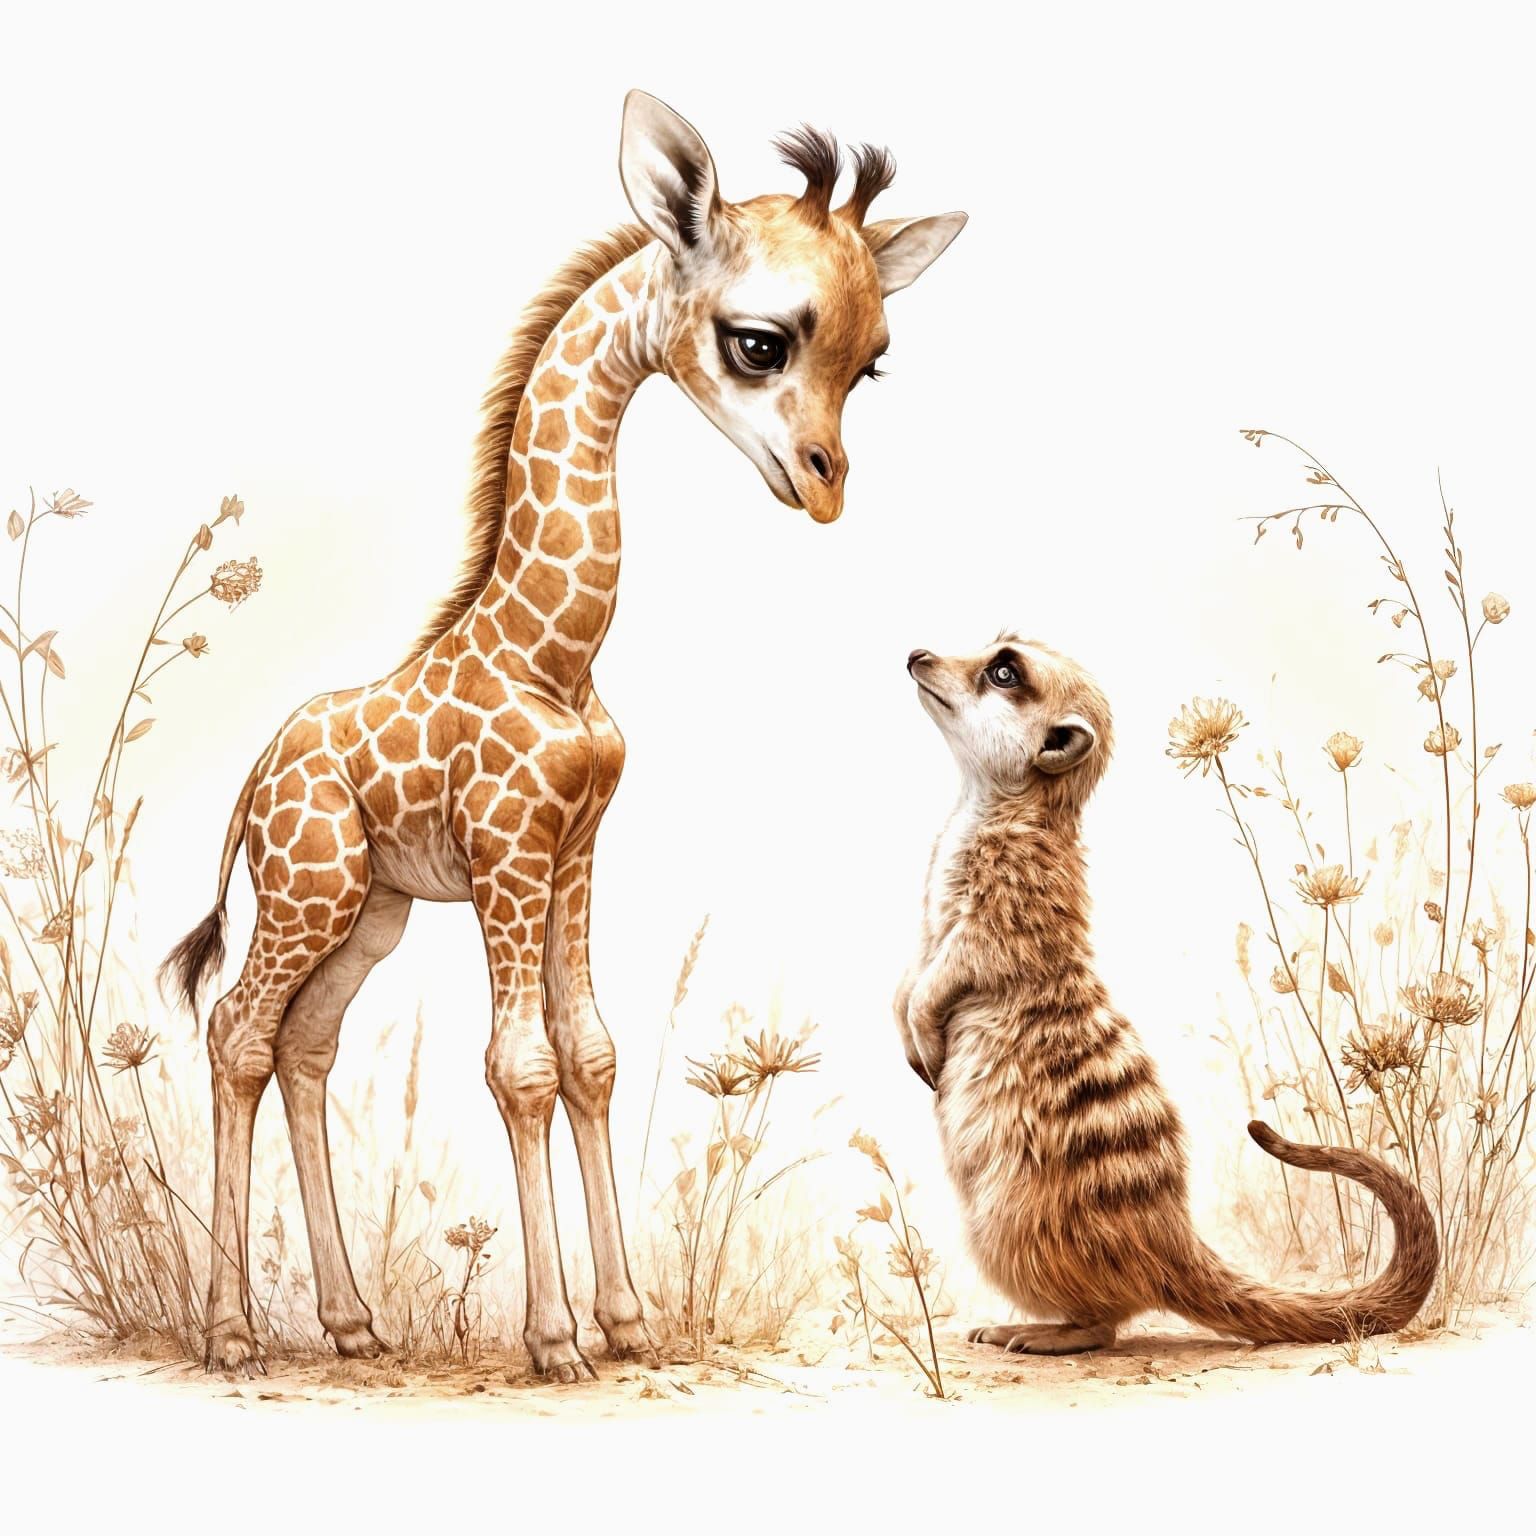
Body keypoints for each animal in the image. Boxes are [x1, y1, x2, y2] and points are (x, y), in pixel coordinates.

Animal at [162, 90, 966, 1380]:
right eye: (759, 341)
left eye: (873, 359)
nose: (826, 484)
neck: (555, 654)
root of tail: (257, 771)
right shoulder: (507, 854)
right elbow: (521, 1066)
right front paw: (555, 1341)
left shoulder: (576, 850)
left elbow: (589, 1054)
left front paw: (627, 1322)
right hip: (309, 888)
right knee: (237, 1031)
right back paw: (232, 1335)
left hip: (371, 912)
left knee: (302, 1047)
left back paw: (352, 1325)